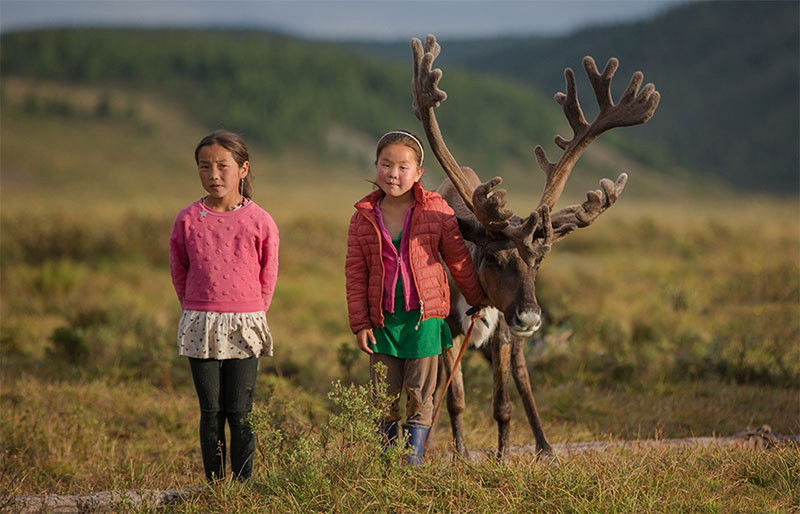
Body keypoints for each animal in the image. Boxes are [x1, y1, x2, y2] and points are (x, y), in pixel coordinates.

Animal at [410, 34, 660, 459]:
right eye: (492, 257)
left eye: (538, 260)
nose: (529, 317)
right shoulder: (446, 326)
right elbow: (454, 398)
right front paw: (460, 453)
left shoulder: (502, 329)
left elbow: (504, 403)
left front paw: (503, 456)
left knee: (524, 377)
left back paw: (545, 447)